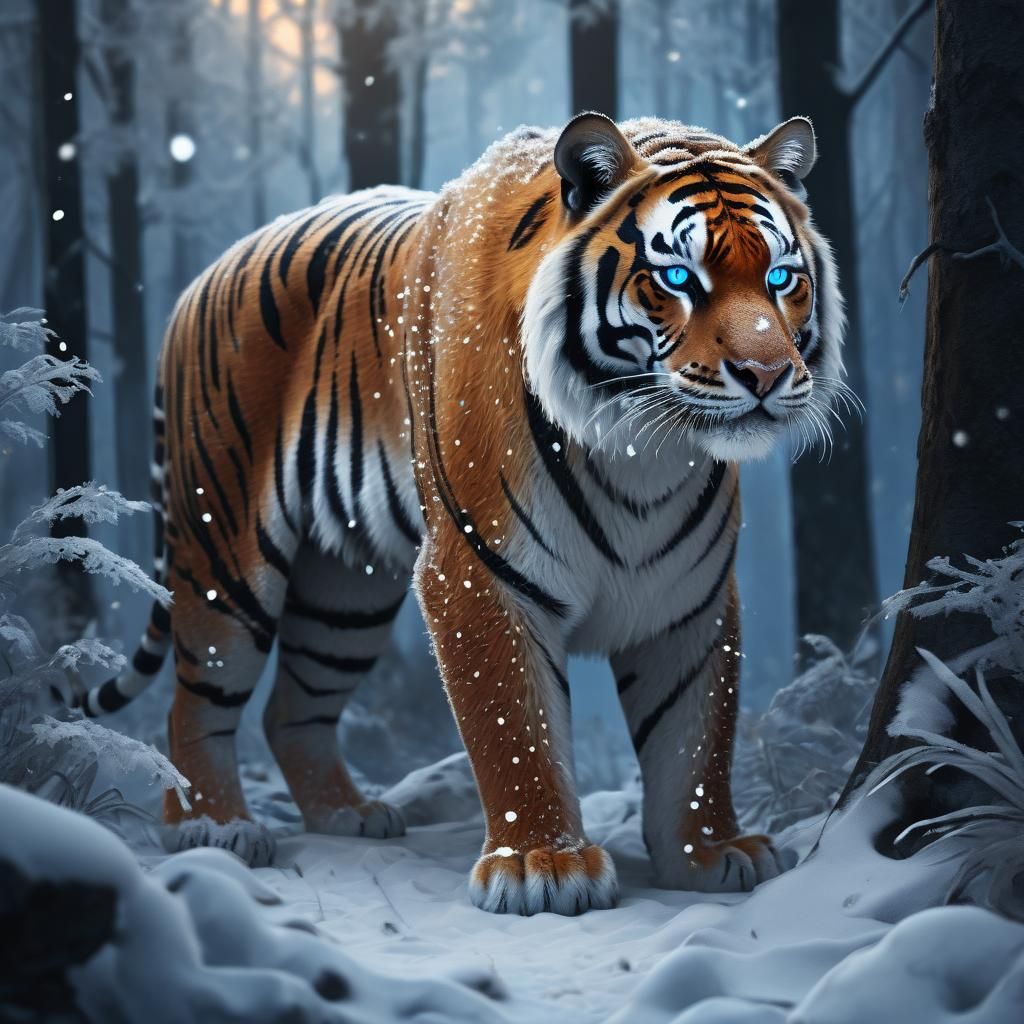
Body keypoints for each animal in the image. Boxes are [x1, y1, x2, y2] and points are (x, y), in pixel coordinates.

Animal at [80, 112, 843, 916]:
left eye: (781, 278)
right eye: (678, 279)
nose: (766, 375)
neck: (642, 451)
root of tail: (202, 277)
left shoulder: (689, 600)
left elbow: (695, 741)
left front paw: (710, 854)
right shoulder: (479, 573)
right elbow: (515, 728)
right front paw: (544, 864)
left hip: (344, 598)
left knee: (290, 708)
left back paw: (346, 814)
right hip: (225, 554)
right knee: (194, 698)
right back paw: (213, 826)